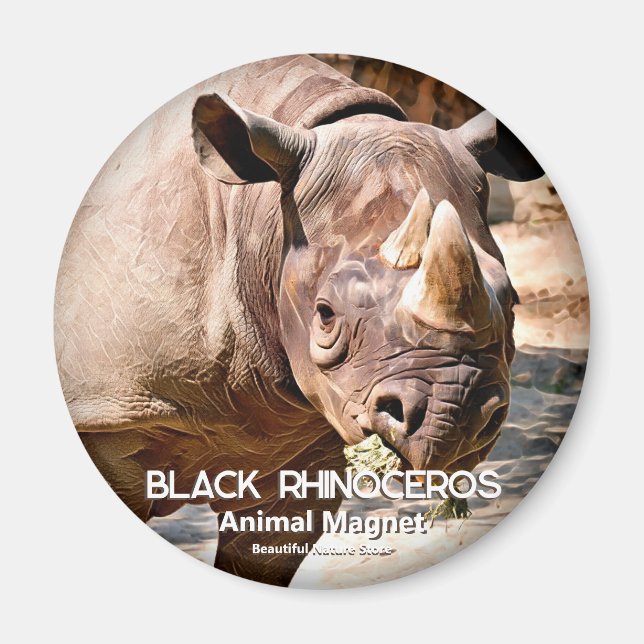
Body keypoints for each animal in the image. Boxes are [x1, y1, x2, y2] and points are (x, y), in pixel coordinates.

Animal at [55, 54, 543, 586]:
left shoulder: (300, 444)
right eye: (325, 316)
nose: (456, 415)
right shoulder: (109, 409)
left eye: (513, 303)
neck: (261, 211)